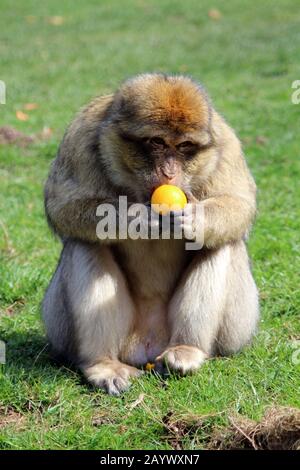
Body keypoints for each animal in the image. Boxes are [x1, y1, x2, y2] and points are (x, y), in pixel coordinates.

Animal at [41, 74, 258, 396]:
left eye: (184, 146)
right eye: (156, 142)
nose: (169, 172)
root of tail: (147, 346)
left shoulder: (226, 143)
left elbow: (240, 203)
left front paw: (196, 220)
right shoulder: (80, 134)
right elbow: (62, 205)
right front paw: (137, 218)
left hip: (235, 330)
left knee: (222, 244)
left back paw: (187, 349)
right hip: (64, 330)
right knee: (86, 244)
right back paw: (102, 364)